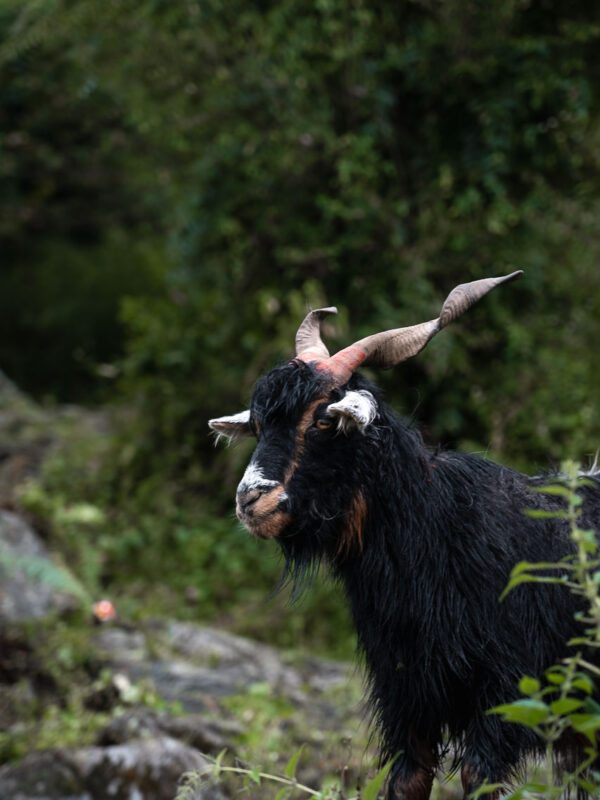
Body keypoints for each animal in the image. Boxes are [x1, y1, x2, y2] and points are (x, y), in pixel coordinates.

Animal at [210, 272, 600, 796]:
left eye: (323, 418)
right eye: (258, 425)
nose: (252, 500)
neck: (441, 532)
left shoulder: (508, 688)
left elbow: (479, 775)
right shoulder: (406, 693)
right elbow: (409, 777)